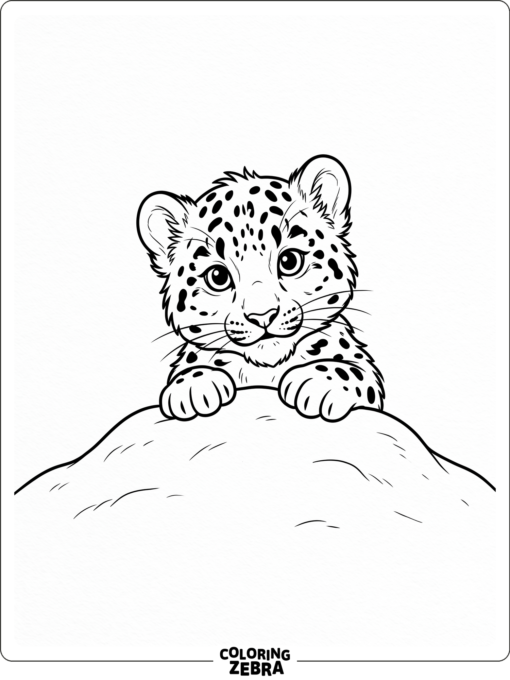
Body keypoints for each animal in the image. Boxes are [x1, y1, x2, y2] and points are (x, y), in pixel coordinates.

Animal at [137, 154, 384, 422]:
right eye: (217, 276)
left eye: (289, 261)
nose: (262, 316)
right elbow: (190, 369)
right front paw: (194, 385)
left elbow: (353, 371)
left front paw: (318, 382)